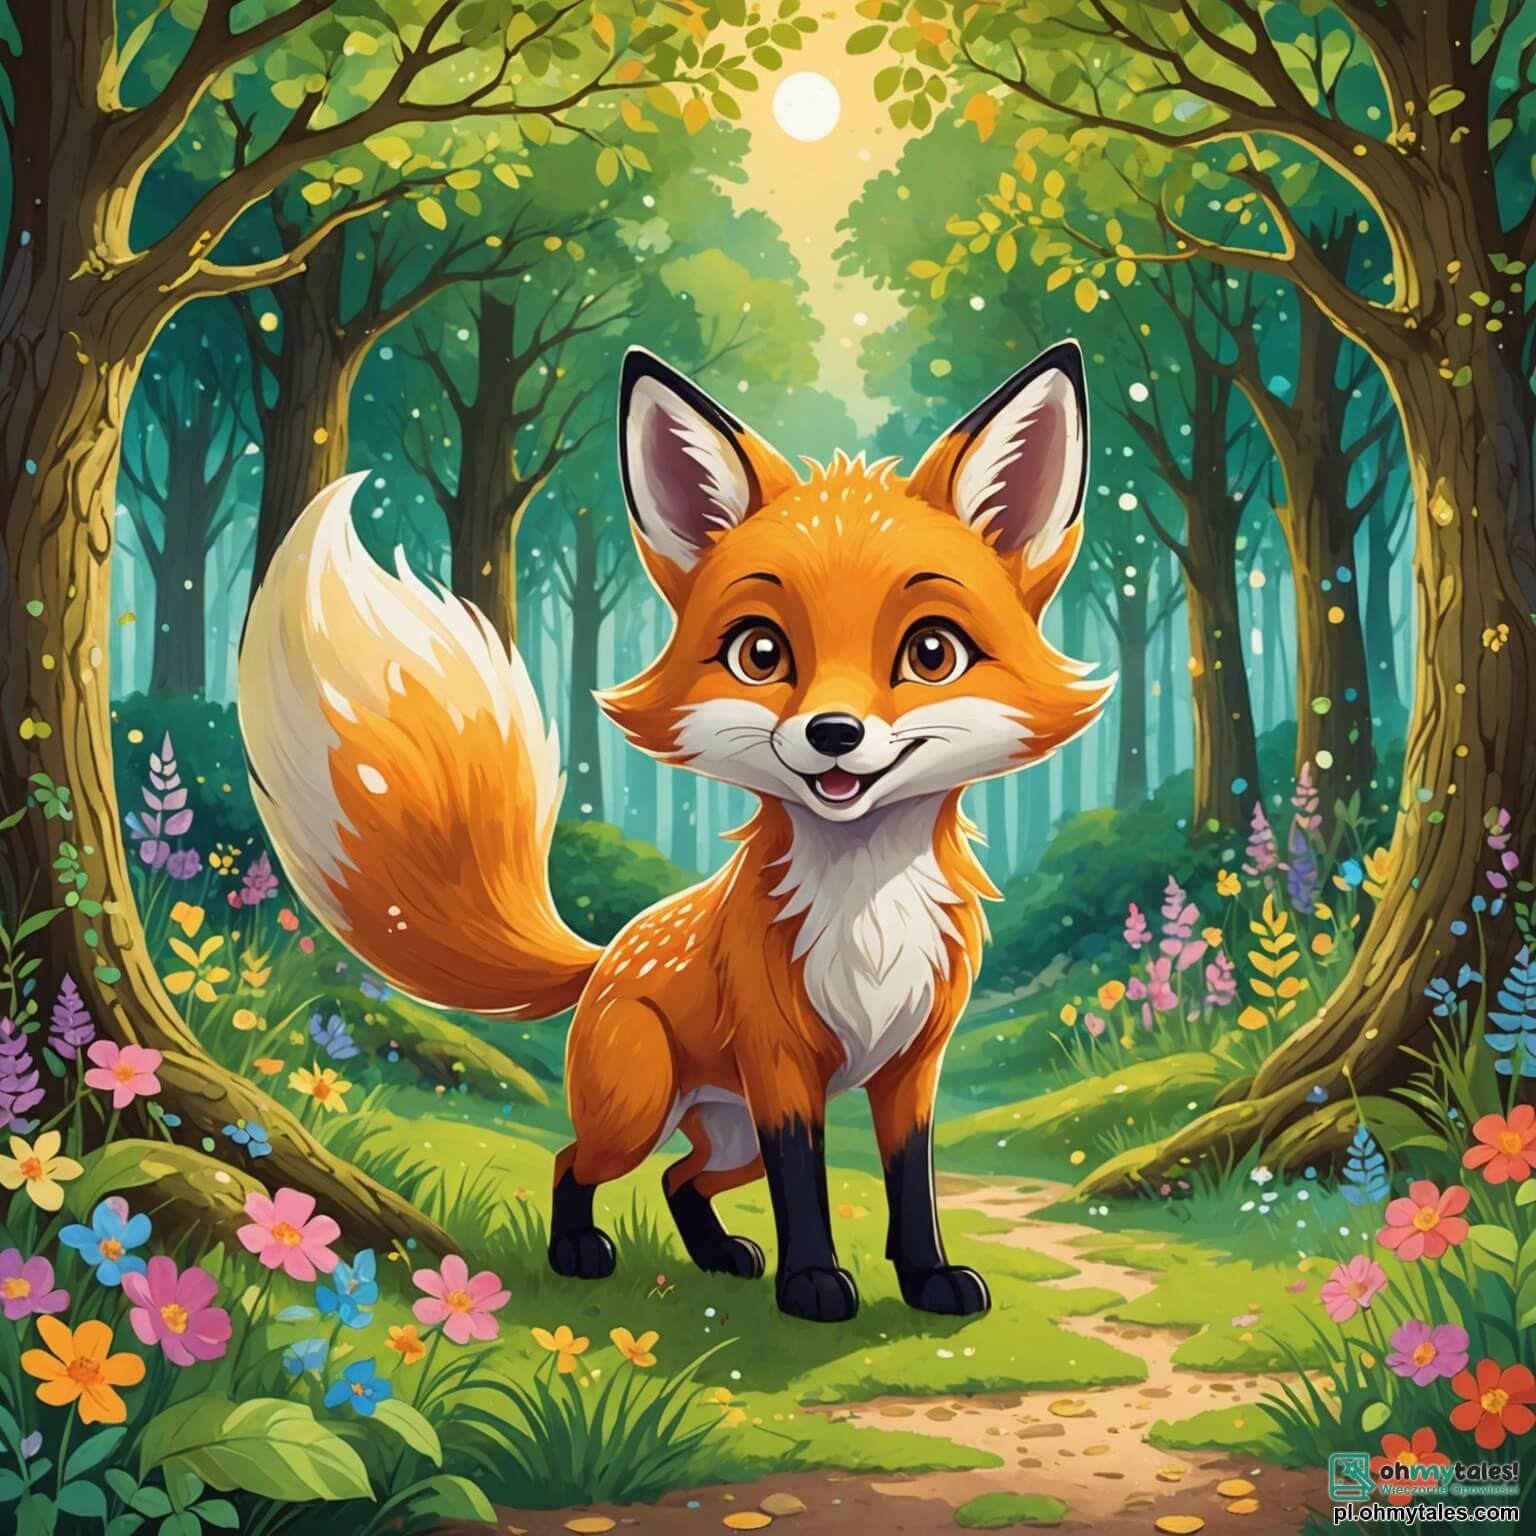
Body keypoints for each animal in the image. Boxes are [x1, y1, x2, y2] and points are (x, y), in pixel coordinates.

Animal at [238, 341, 1111, 1323]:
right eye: (761, 654)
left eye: (932, 653)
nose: (833, 734)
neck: (866, 911)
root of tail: (604, 956)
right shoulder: (780, 1066)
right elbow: (804, 1184)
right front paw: (814, 1284)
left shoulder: (912, 1064)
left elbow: (910, 1184)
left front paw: (927, 1279)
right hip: (641, 1104)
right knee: (576, 1161)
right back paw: (580, 1251)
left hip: (722, 1132)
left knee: (679, 1180)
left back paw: (720, 1254)